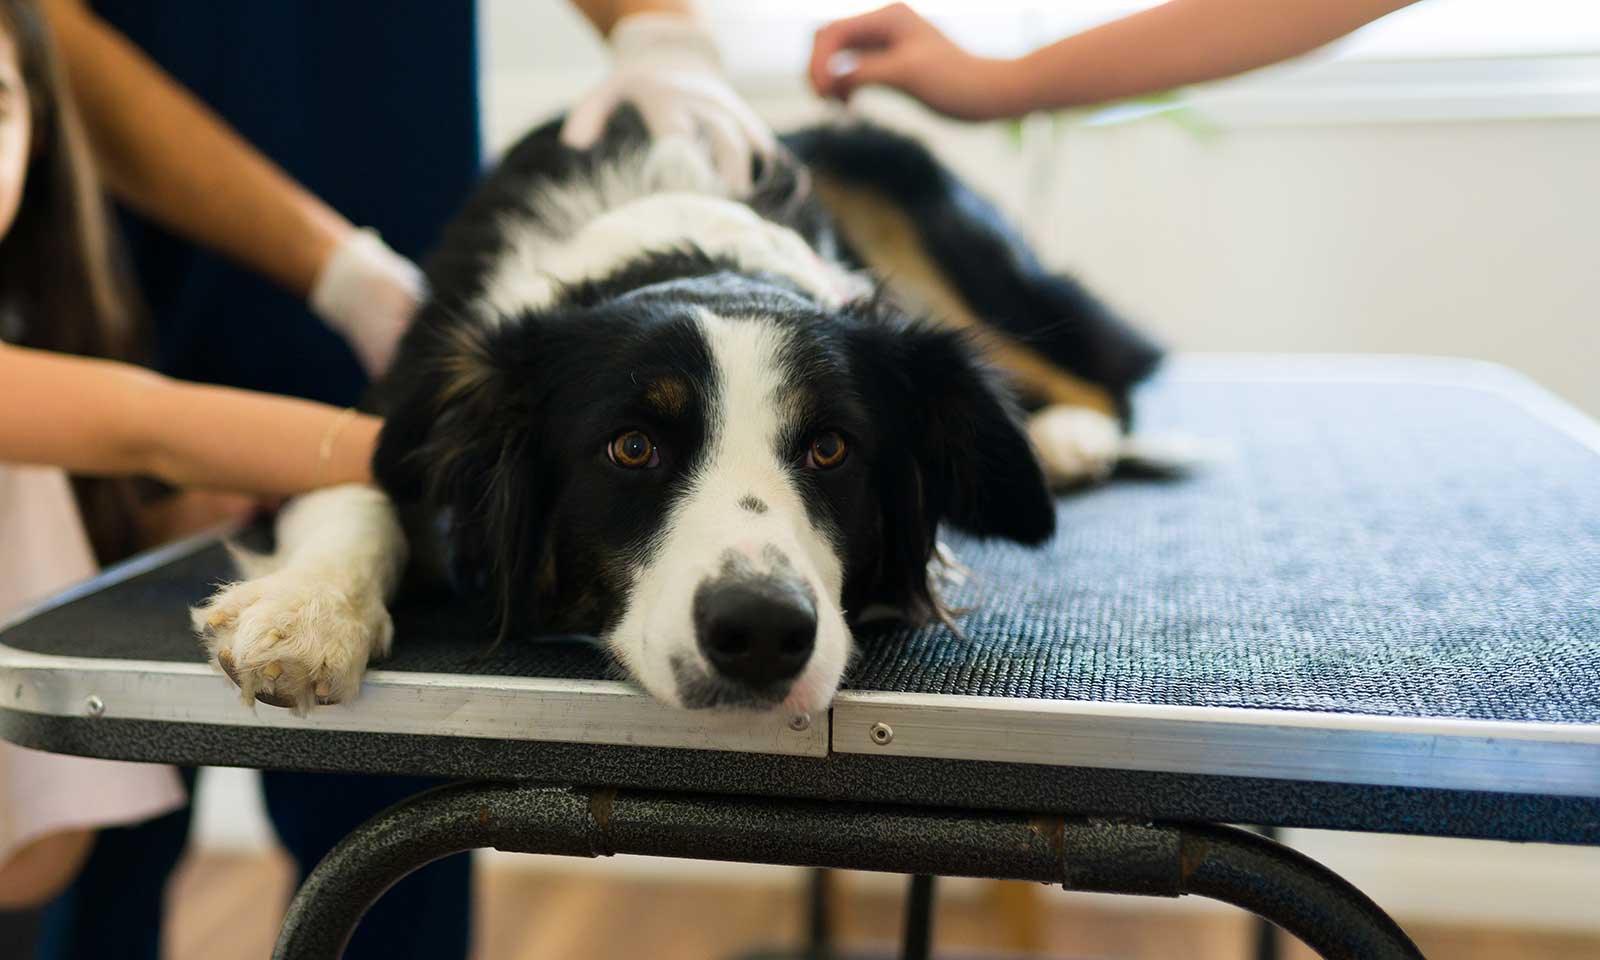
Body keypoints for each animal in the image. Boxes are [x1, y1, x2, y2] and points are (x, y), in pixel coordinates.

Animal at [193, 110, 1164, 713]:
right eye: (631, 448)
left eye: (830, 449)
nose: (763, 632)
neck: (688, 248)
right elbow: (354, 490)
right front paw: (308, 612)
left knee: (1105, 373)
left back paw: (1073, 438)